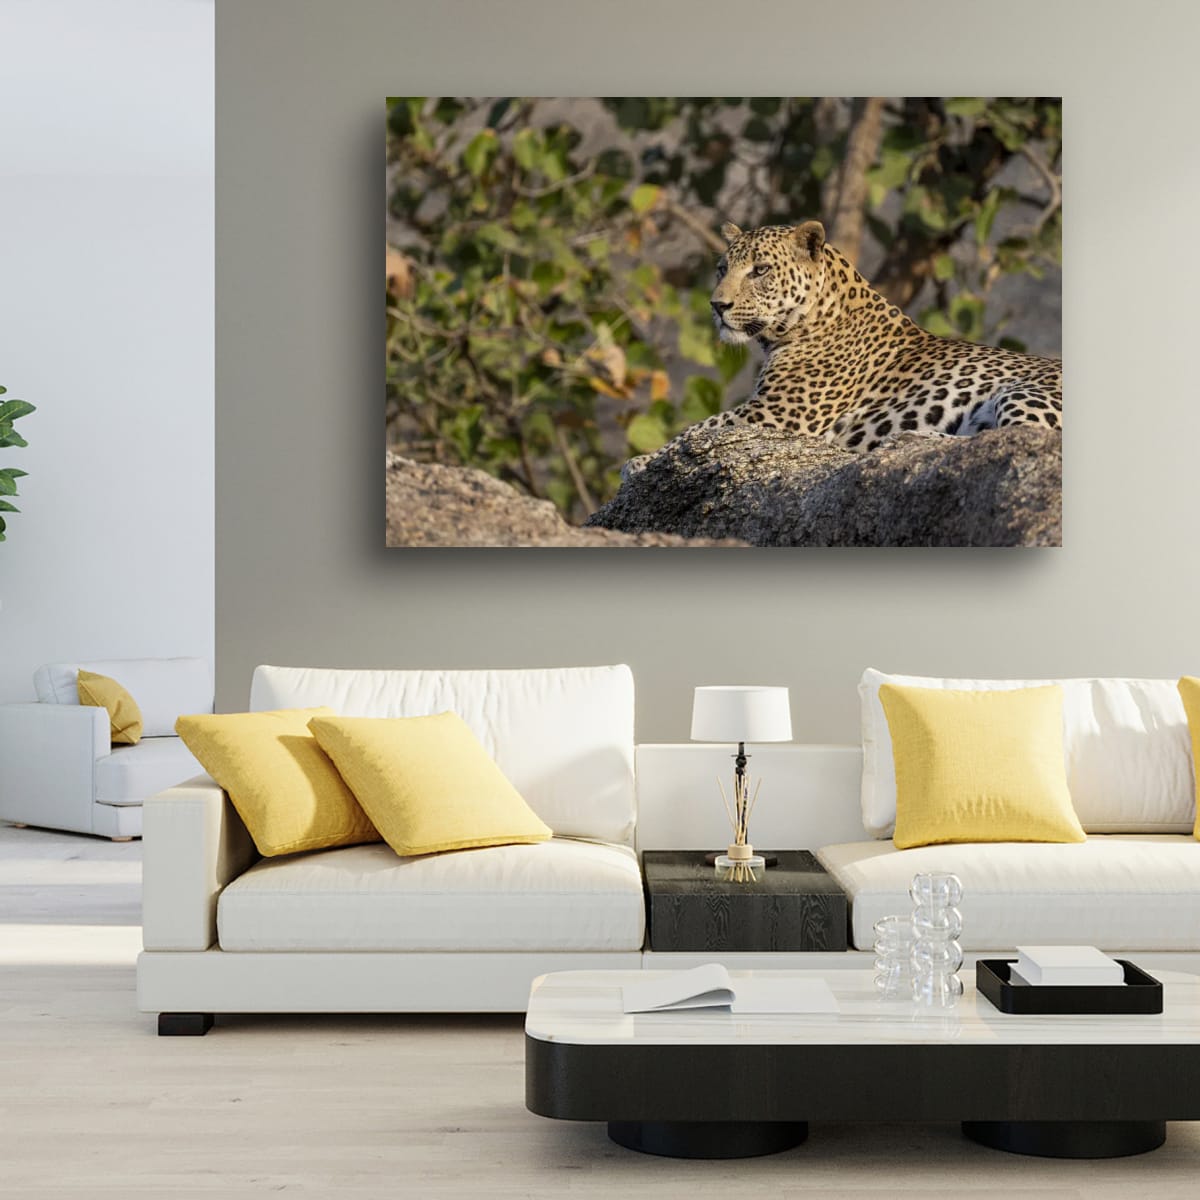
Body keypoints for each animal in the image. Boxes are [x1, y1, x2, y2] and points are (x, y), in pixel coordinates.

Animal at [629, 219, 1061, 470]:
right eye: (722, 269)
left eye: (760, 270)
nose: (718, 306)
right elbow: (700, 430)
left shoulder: (778, 413)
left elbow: (699, 429)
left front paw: (641, 461)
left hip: (1024, 393)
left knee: (1025, 436)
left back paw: (909, 439)